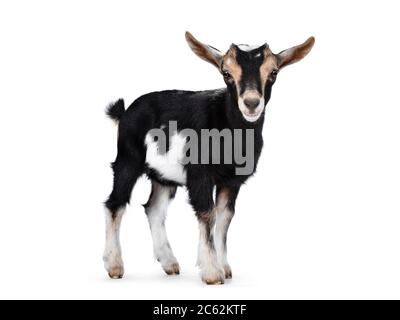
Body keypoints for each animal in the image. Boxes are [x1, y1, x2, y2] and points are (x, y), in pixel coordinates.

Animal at [104, 31, 316, 284]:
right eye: (226, 73)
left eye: (274, 72)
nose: (251, 103)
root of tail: (125, 112)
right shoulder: (200, 176)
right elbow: (208, 214)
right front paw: (212, 272)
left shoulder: (231, 181)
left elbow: (224, 218)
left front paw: (224, 267)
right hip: (127, 159)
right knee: (115, 203)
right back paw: (114, 265)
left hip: (163, 176)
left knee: (154, 209)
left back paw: (169, 263)